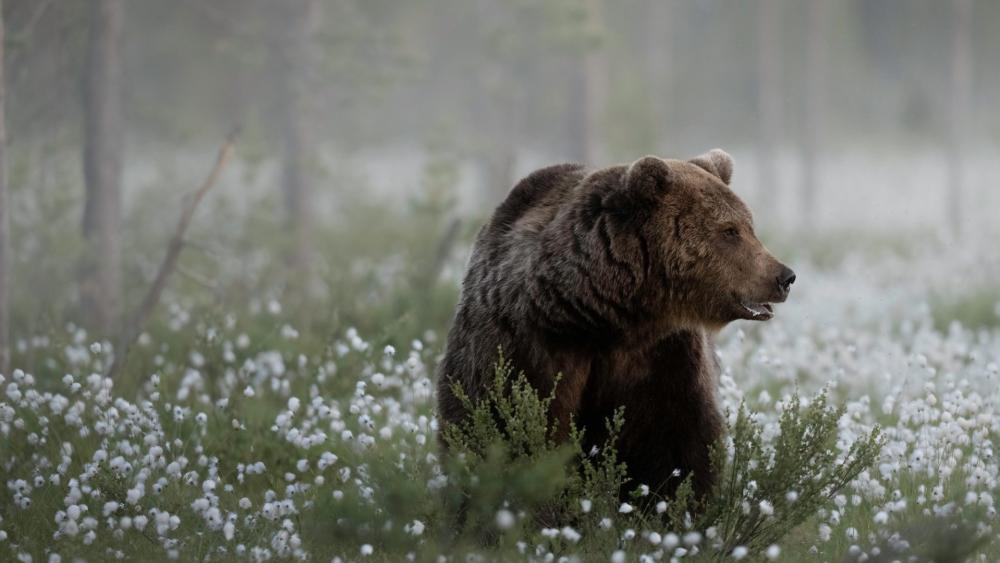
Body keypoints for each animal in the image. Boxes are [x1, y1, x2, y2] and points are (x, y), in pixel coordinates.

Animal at [436, 149, 795, 501]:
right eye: (730, 230)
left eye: (749, 225)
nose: (785, 276)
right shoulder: (532, 347)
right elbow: (514, 426)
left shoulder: (664, 357)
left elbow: (676, 443)